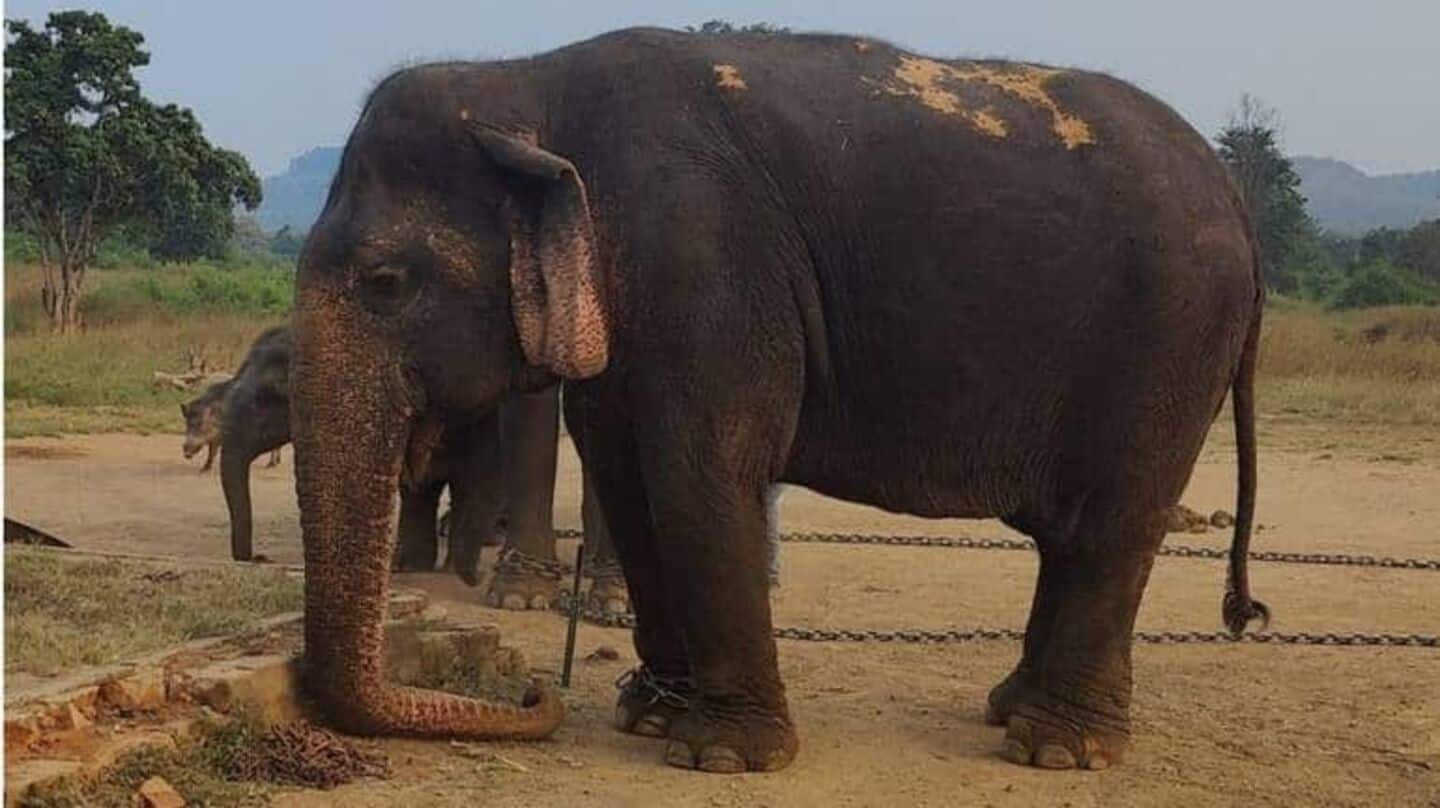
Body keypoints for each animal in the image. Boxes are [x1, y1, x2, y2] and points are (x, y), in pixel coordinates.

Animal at [287, 28, 1267, 766]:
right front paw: (649, 715)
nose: (535, 689)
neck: (529, 80)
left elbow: (700, 468)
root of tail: (1235, 197)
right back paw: (1015, 712)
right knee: (1075, 536)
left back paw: (1054, 748)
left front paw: (722, 754)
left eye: (384, 283)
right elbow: (628, 476)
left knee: (1111, 522)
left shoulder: (707, 261)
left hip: (1171, 335)